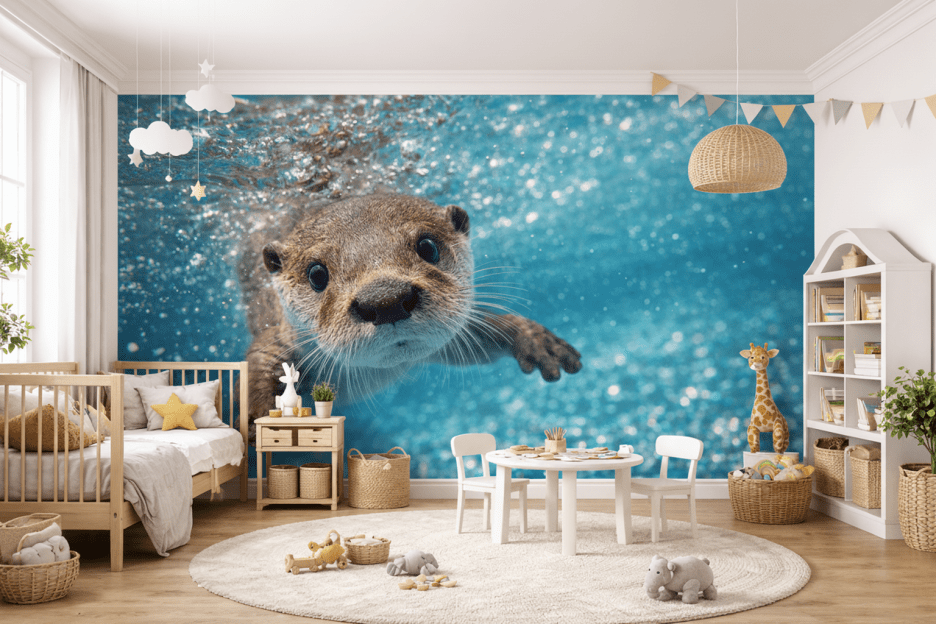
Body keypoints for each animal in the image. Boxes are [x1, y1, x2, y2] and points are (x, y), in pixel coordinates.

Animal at [240, 194, 582, 424]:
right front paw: (257, 416)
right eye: (316, 274)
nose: (385, 300)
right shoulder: (279, 336)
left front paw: (534, 340)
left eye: (427, 246)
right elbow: (258, 362)